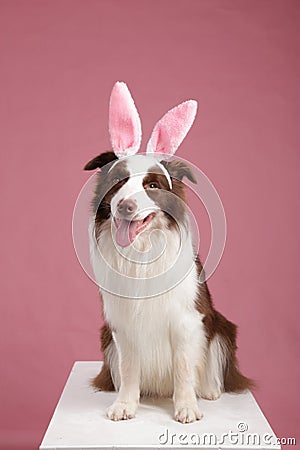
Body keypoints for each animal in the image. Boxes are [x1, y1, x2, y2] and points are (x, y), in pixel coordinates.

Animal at [84, 82, 253, 424]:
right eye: (118, 181)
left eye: (151, 186)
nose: (125, 206)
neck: (142, 253)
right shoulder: (122, 325)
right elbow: (129, 368)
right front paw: (126, 404)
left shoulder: (186, 319)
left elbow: (184, 368)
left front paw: (186, 406)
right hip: (106, 336)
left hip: (223, 327)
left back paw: (210, 390)